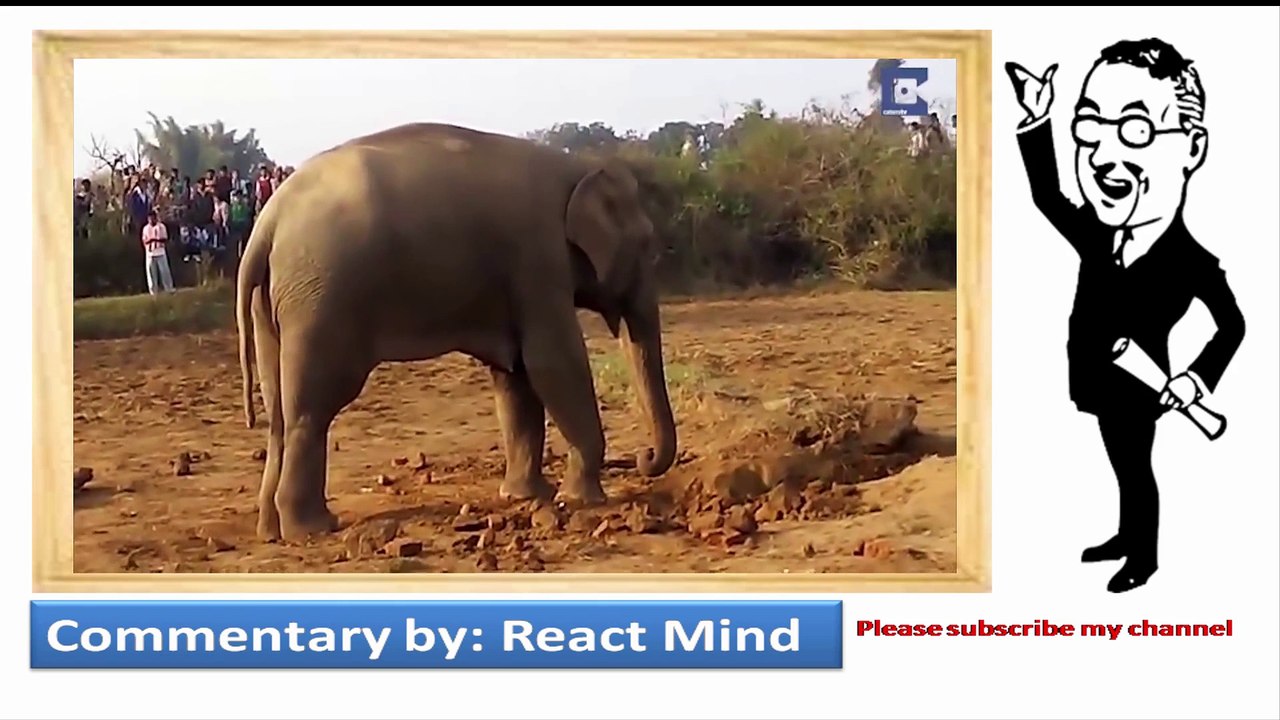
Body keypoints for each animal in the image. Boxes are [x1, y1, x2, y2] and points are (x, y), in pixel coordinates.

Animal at [235, 122, 679, 543]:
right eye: (649, 248)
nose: (644, 456)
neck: (577, 167)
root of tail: (268, 223)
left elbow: (515, 376)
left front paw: (525, 496)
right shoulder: (538, 259)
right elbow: (552, 363)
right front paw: (585, 499)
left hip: (276, 302)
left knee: (279, 414)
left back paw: (271, 530)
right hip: (322, 300)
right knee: (313, 408)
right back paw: (313, 528)